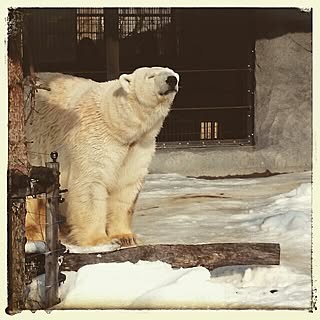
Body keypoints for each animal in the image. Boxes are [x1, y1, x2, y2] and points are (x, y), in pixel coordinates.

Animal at [25, 67, 179, 248]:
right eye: (151, 76)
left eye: (172, 73)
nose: (172, 80)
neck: (116, 122)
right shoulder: (96, 138)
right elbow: (91, 184)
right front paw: (99, 241)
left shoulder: (139, 146)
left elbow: (126, 186)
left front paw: (125, 237)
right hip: (31, 144)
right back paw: (33, 233)